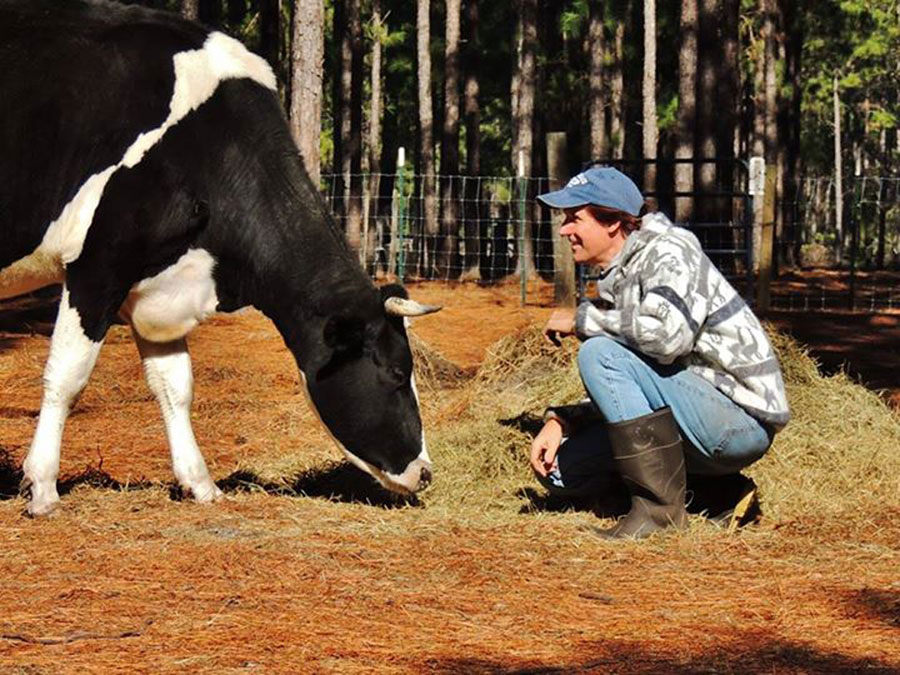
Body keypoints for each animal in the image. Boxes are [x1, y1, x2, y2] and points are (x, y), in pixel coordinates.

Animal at [0, 0, 442, 516]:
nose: (425, 472)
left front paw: (200, 483)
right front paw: (43, 488)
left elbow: (175, 385)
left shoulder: (156, 284)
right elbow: (67, 377)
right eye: (397, 371)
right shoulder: (97, 265)